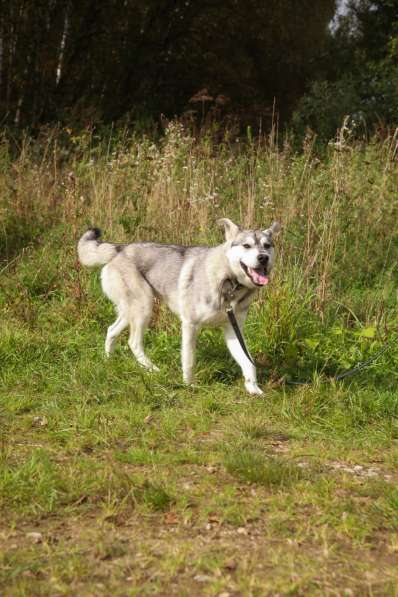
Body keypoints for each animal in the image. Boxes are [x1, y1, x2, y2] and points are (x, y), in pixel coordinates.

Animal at [77, 217, 280, 394]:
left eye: (267, 246)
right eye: (247, 246)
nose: (263, 258)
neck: (229, 282)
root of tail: (119, 248)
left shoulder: (233, 330)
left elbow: (248, 362)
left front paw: (253, 388)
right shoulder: (190, 325)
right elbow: (189, 360)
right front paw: (189, 386)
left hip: (131, 312)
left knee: (111, 330)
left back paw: (108, 360)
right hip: (143, 309)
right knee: (133, 342)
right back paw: (152, 369)